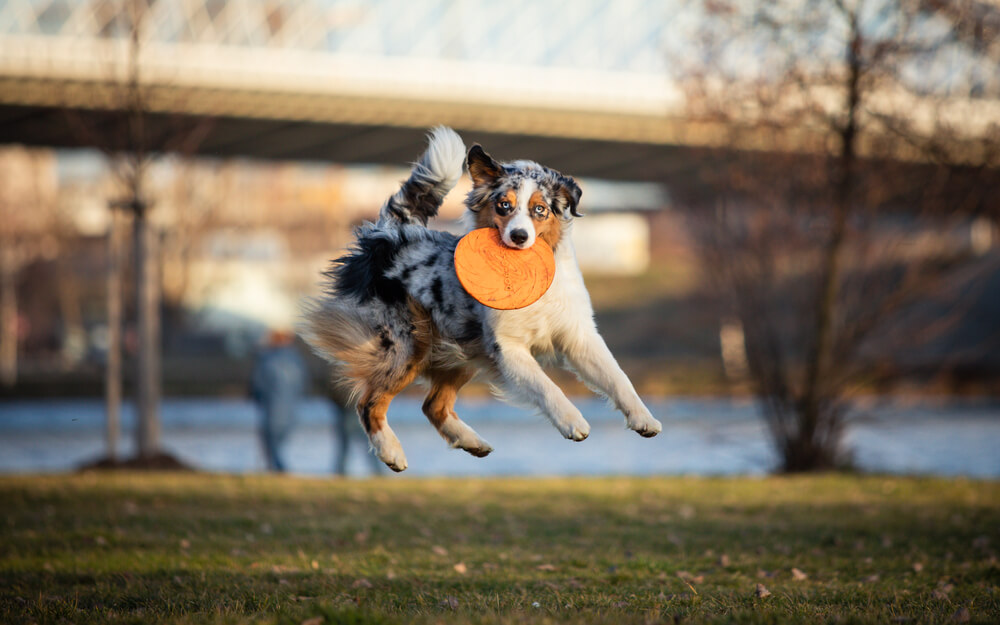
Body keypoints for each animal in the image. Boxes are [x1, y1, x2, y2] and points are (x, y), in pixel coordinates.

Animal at [304, 125, 664, 468]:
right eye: (504, 206)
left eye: (539, 209)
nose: (519, 236)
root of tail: (390, 234)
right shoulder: (506, 347)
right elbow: (546, 385)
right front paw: (572, 420)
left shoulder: (578, 336)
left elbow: (617, 377)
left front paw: (643, 418)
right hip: (406, 344)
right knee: (368, 401)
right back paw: (391, 452)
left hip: (461, 347)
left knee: (432, 405)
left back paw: (472, 442)